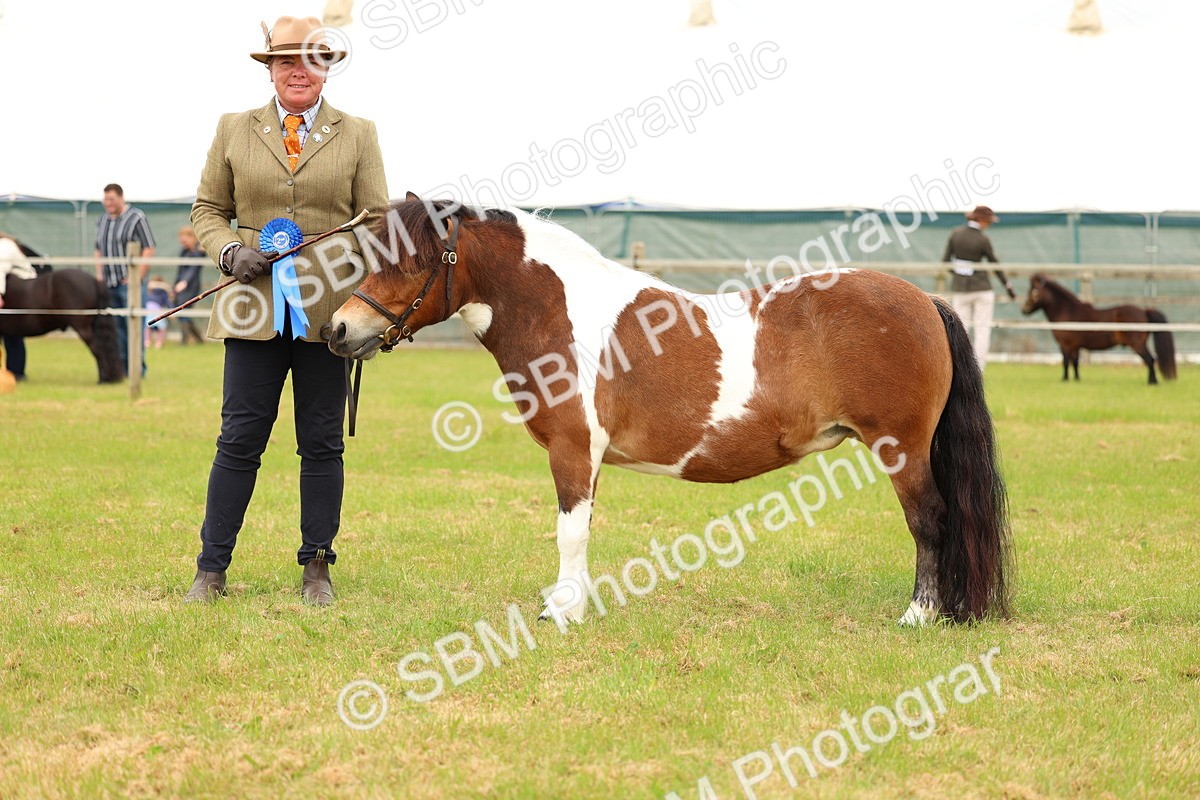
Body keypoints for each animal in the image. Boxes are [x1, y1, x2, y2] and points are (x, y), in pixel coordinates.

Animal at [328, 197, 1012, 627]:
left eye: (411, 262)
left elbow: (570, 530)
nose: (338, 329)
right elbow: (583, 529)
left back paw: (918, 615)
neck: (559, 309)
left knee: (930, 522)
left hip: (902, 448)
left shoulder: (573, 451)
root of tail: (924, 300)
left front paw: (561, 613)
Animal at [1021, 273, 1177, 385]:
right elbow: (1075, 363)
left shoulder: (1065, 345)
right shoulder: (1075, 347)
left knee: (1150, 360)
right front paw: (1076, 380)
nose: (1024, 309)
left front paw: (1064, 380)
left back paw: (1152, 382)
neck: (1067, 311)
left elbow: (1065, 362)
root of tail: (1144, 311)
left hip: (1137, 344)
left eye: (1033, 291)